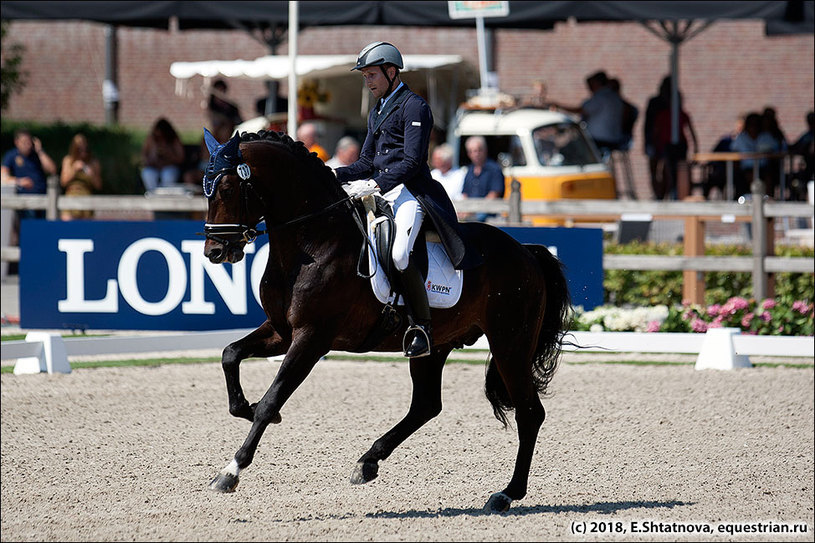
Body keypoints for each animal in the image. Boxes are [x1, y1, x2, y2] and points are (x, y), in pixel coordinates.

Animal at [201, 129, 572, 516]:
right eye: (205, 189)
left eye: (226, 189)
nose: (214, 252)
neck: (314, 242)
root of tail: (526, 251)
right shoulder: (281, 332)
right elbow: (230, 354)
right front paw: (246, 408)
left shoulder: (311, 339)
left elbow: (273, 399)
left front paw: (231, 470)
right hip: (436, 345)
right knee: (427, 405)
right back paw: (367, 463)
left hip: (510, 343)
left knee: (529, 413)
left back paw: (507, 493)